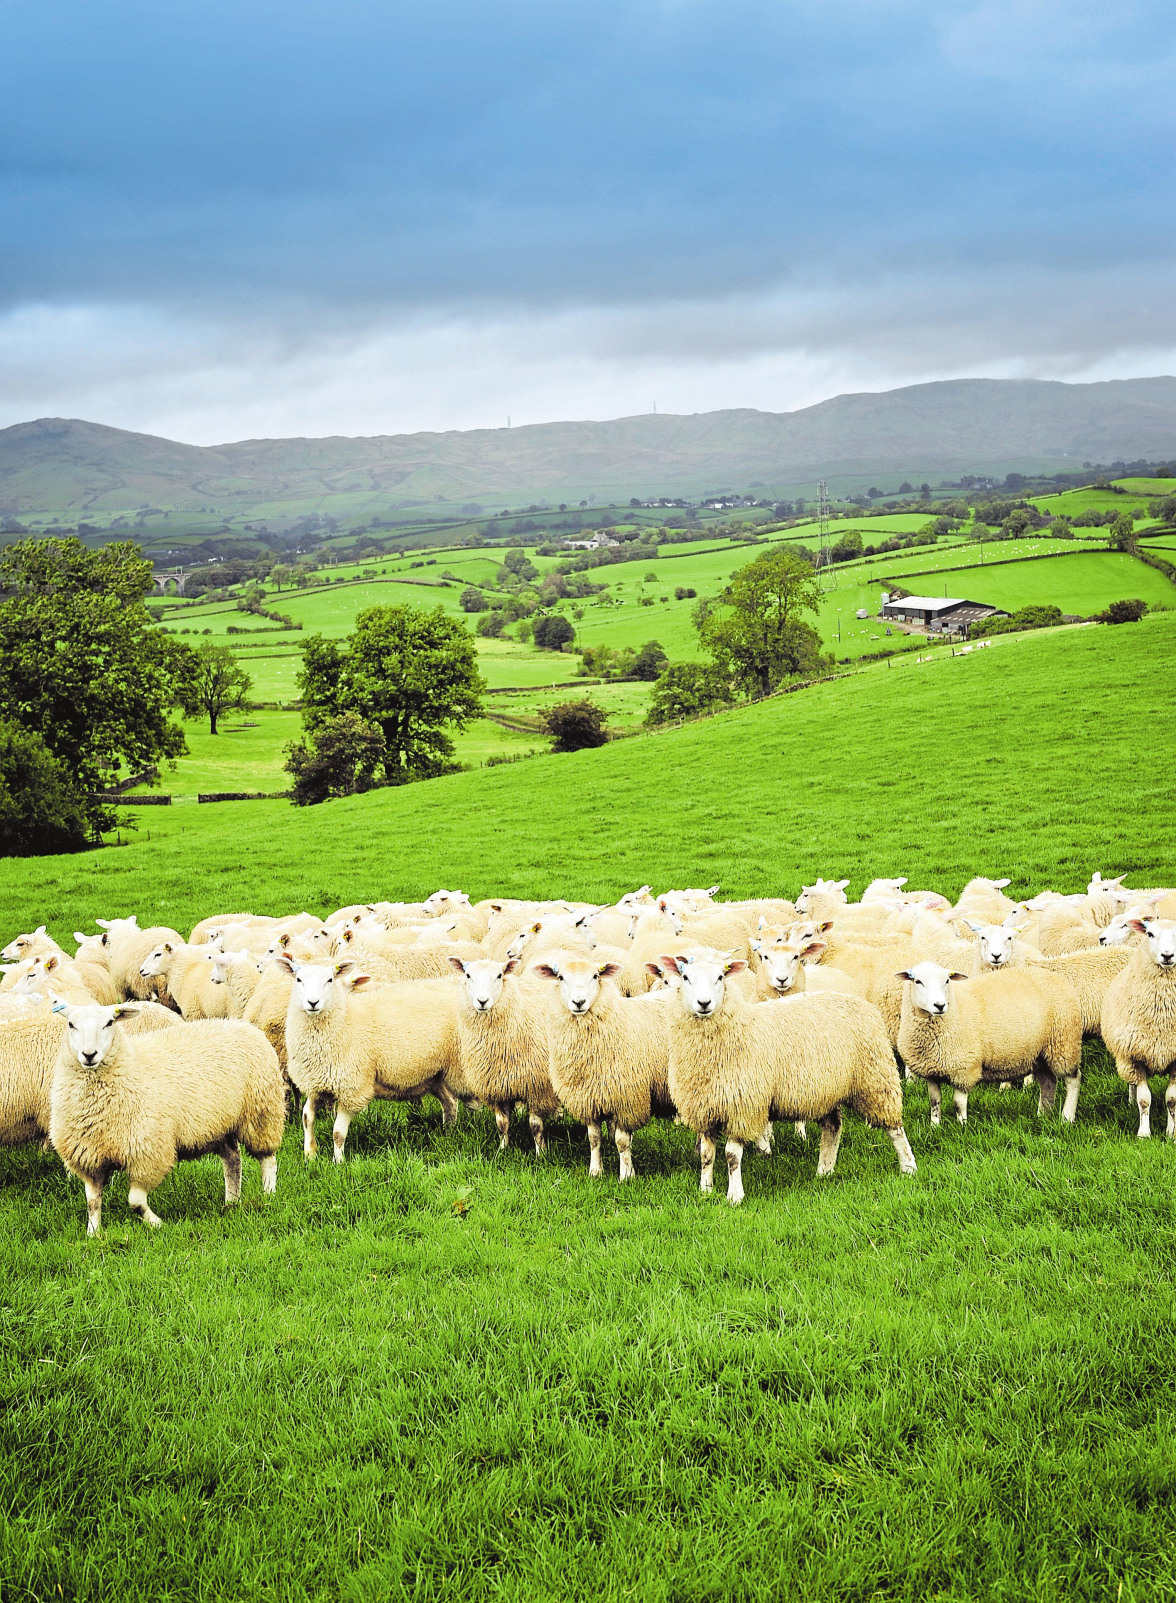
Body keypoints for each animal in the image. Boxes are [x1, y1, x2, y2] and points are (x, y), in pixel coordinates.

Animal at [275, 955, 461, 1160]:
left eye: (329, 980)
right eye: (298, 979)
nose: (313, 1002)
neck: (345, 1018)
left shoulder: (352, 1088)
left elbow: (338, 1132)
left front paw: (338, 1161)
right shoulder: (317, 1081)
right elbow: (307, 1117)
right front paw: (310, 1155)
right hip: (435, 1075)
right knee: (449, 1102)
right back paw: (448, 1133)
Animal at [451, 948, 560, 1154]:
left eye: (499, 976)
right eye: (468, 975)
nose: (482, 1001)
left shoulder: (536, 1087)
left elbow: (535, 1126)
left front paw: (541, 1153)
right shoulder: (497, 1087)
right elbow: (502, 1124)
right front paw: (502, 1150)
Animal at [531, 955, 672, 1186]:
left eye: (596, 976)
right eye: (560, 977)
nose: (579, 1002)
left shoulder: (626, 1100)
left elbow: (622, 1142)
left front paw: (626, 1175)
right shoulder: (588, 1099)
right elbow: (594, 1139)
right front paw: (595, 1171)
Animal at [903, 961, 1089, 1128]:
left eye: (947, 980)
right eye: (917, 981)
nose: (939, 1005)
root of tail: (1059, 978)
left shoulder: (964, 1069)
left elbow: (958, 1103)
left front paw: (962, 1126)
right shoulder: (932, 1071)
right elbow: (935, 1102)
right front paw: (934, 1127)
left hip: (1064, 1044)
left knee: (1073, 1080)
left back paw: (1067, 1118)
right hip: (1040, 1054)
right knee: (1048, 1082)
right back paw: (1043, 1115)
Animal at [1102, 916, 1176, 1141]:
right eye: (1150, 934)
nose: (1167, 956)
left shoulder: (1175, 1059)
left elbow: (1171, 1099)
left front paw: (1171, 1133)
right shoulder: (1135, 1058)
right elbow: (1144, 1100)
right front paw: (1144, 1133)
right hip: (1125, 1058)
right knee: (1132, 1084)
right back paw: (1129, 1100)